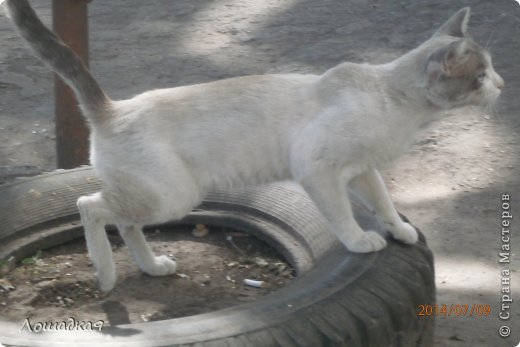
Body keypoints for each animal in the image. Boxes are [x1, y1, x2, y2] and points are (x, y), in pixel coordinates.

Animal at [2, 1, 502, 292]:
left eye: (492, 69)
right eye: (480, 75)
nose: (501, 85)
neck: (399, 108)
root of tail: (113, 108)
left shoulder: (362, 170)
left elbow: (384, 203)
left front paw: (398, 231)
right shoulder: (319, 172)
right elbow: (343, 217)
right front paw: (363, 242)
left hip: (159, 199)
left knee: (124, 224)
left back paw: (152, 267)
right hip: (171, 197)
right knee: (89, 206)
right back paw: (106, 277)